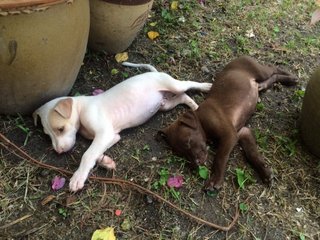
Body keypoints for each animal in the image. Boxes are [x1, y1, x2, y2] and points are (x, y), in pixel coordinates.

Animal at [33, 62, 212, 192]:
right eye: (48, 135)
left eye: (60, 129)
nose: (58, 151)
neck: (81, 107)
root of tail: (153, 72)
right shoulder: (111, 136)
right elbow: (94, 153)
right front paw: (106, 162)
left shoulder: (104, 133)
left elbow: (87, 154)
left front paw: (78, 177)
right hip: (165, 104)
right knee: (182, 97)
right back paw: (194, 105)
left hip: (173, 85)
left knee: (186, 84)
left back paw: (205, 86)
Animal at [160, 55, 298, 192]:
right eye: (181, 154)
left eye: (188, 142)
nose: (196, 165)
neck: (201, 120)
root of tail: (240, 57)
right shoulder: (243, 132)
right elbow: (253, 154)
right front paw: (265, 173)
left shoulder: (229, 135)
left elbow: (220, 158)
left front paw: (215, 180)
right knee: (271, 78)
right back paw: (268, 84)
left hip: (260, 71)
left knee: (273, 68)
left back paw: (291, 78)